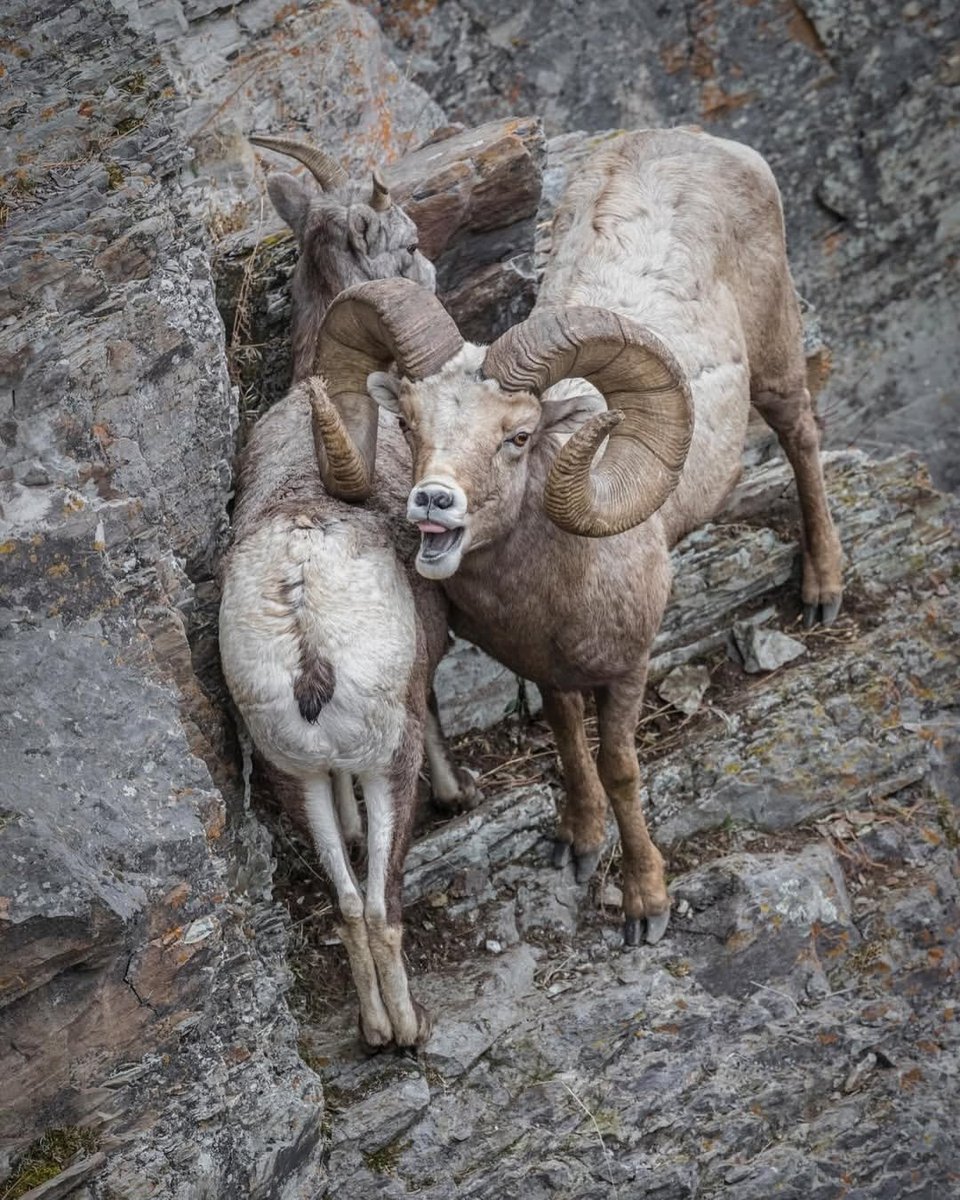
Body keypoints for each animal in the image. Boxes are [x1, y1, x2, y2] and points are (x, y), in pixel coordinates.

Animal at [219, 138, 472, 1049]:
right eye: (406, 240)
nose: (432, 271)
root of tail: (304, 634)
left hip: (297, 778)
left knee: (352, 904)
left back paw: (372, 1029)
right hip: (381, 762)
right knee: (383, 902)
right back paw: (407, 1030)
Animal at [317, 127, 844, 947]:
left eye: (519, 436)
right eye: (408, 423)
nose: (434, 504)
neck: (556, 587)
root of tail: (703, 143)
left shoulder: (626, 670)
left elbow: (620, 766)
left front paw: (644, 906)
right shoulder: (548, 671)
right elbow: (569, 747)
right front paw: (578, 841)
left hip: (779, 360)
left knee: (802, 439)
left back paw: (823, 590)